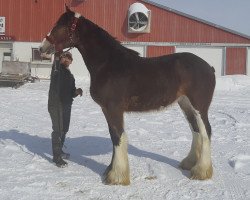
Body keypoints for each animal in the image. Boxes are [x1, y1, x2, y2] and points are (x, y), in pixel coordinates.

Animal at [39, 5, 215, 186]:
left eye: (60, 26)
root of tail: (208, 67)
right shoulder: (106, 110)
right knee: (196, 130)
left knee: (206, 131)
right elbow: (113, 136)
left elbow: (118, 136)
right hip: (186, 104)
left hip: (199, 107)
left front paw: (116, 176)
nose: (42, 48)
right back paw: (190, 164)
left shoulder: (114, 109)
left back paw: (201, 171)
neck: (108, 63)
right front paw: (109, 171)